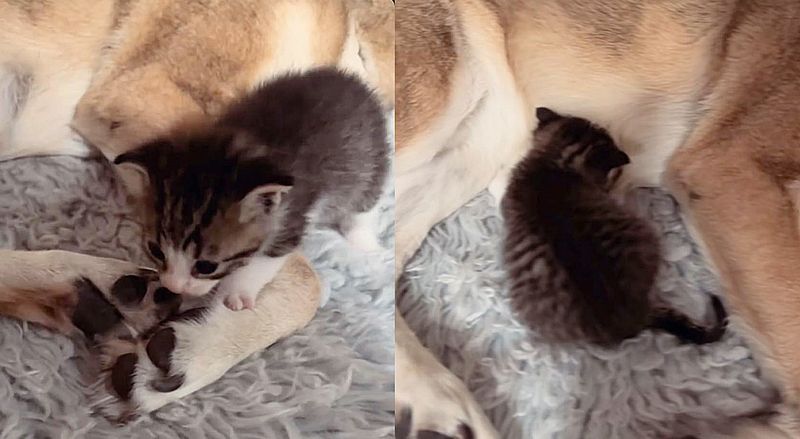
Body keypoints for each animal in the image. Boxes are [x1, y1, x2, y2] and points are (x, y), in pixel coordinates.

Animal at [115, 67, 388, 312]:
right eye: (155, 250)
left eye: (206, 267)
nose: (174, 286)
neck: (243, 146)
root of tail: (352, 80)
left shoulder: (291, 220)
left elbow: (262, 261)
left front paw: (234, 292)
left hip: (370, 158)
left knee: (366, 202)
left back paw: (364, 242)